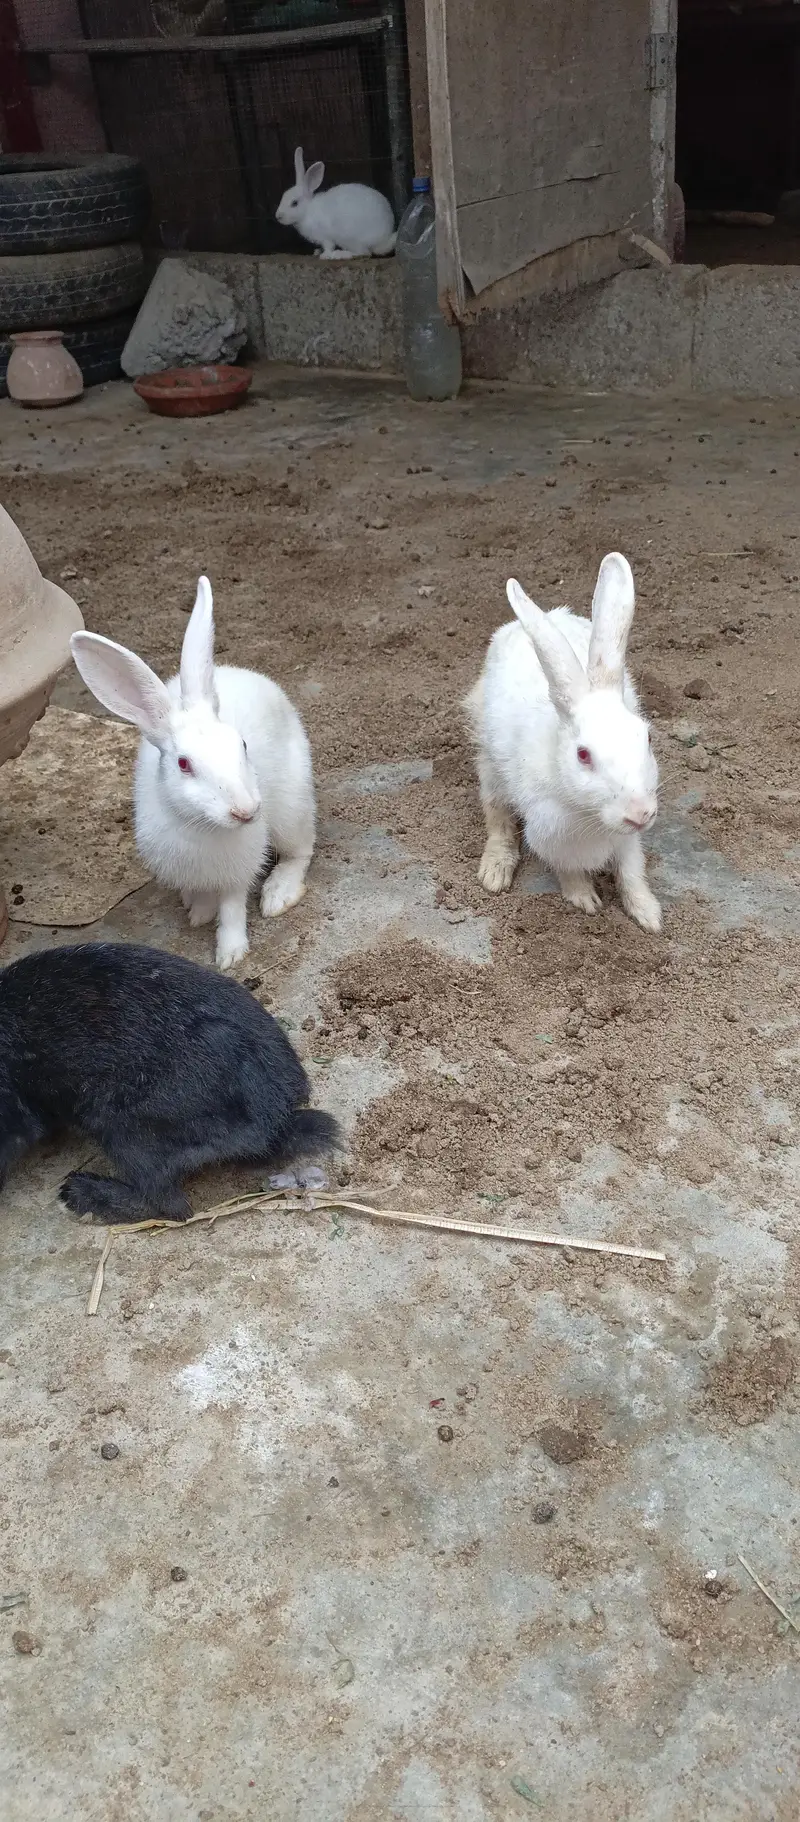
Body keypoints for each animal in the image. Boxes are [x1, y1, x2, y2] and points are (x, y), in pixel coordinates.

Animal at [70, 576, 316, 971]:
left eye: (242, 745)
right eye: (184, 764)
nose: (247, 811)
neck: (203, 827)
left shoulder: (236, 874)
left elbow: (232, 910)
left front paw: (230, 954)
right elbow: (203, 896)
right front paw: (198, 913)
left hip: (293, 806)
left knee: (300, 850)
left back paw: (279, 894)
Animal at [464, 552, 662, 933]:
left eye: (646, 737)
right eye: (583, 755)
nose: (640, 814)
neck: (592, 814)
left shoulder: (628, 843)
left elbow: (632, 874)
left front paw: (648, 915)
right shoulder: (552, 835)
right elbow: (569, 872)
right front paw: (585, 900)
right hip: (490, 769)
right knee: (497, 817)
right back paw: (494, 872)